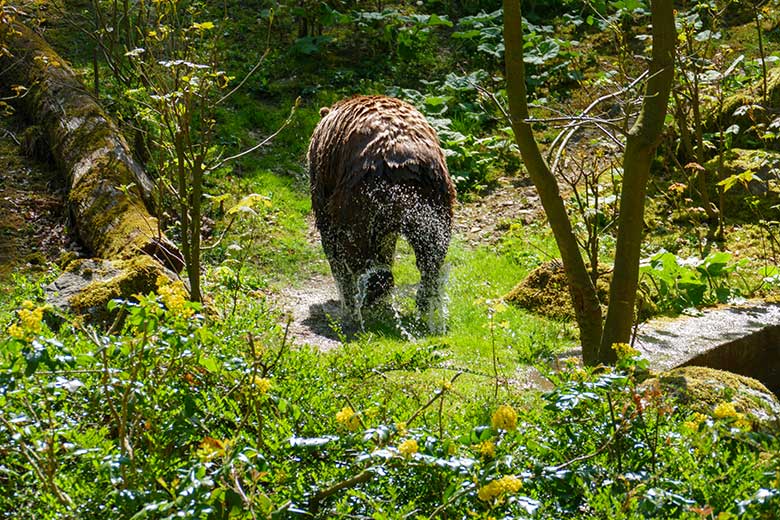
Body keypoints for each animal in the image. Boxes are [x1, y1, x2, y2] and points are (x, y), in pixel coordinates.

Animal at [308, 95, 458, 328]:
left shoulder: (324, 181)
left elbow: (332, 241)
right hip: (435, 196)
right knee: (432, 252)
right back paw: (423, 300)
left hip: (357, 194)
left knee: (352, 246)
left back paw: (358, 301)